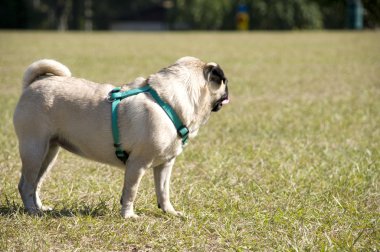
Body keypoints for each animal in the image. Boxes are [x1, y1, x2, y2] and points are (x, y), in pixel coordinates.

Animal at [13, 56, 229, 218]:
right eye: (224, 83)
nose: (228, 92)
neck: (168, 102)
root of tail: (33, 84)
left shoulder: (165, 165)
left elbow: (163, 192)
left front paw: (170, 212)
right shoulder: (137, 164)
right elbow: (130, 191)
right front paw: (129, 215)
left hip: (49, 153)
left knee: (36, 184)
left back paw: (40, 207)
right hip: (34, 149)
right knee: (26, 184)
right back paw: (32, 211)